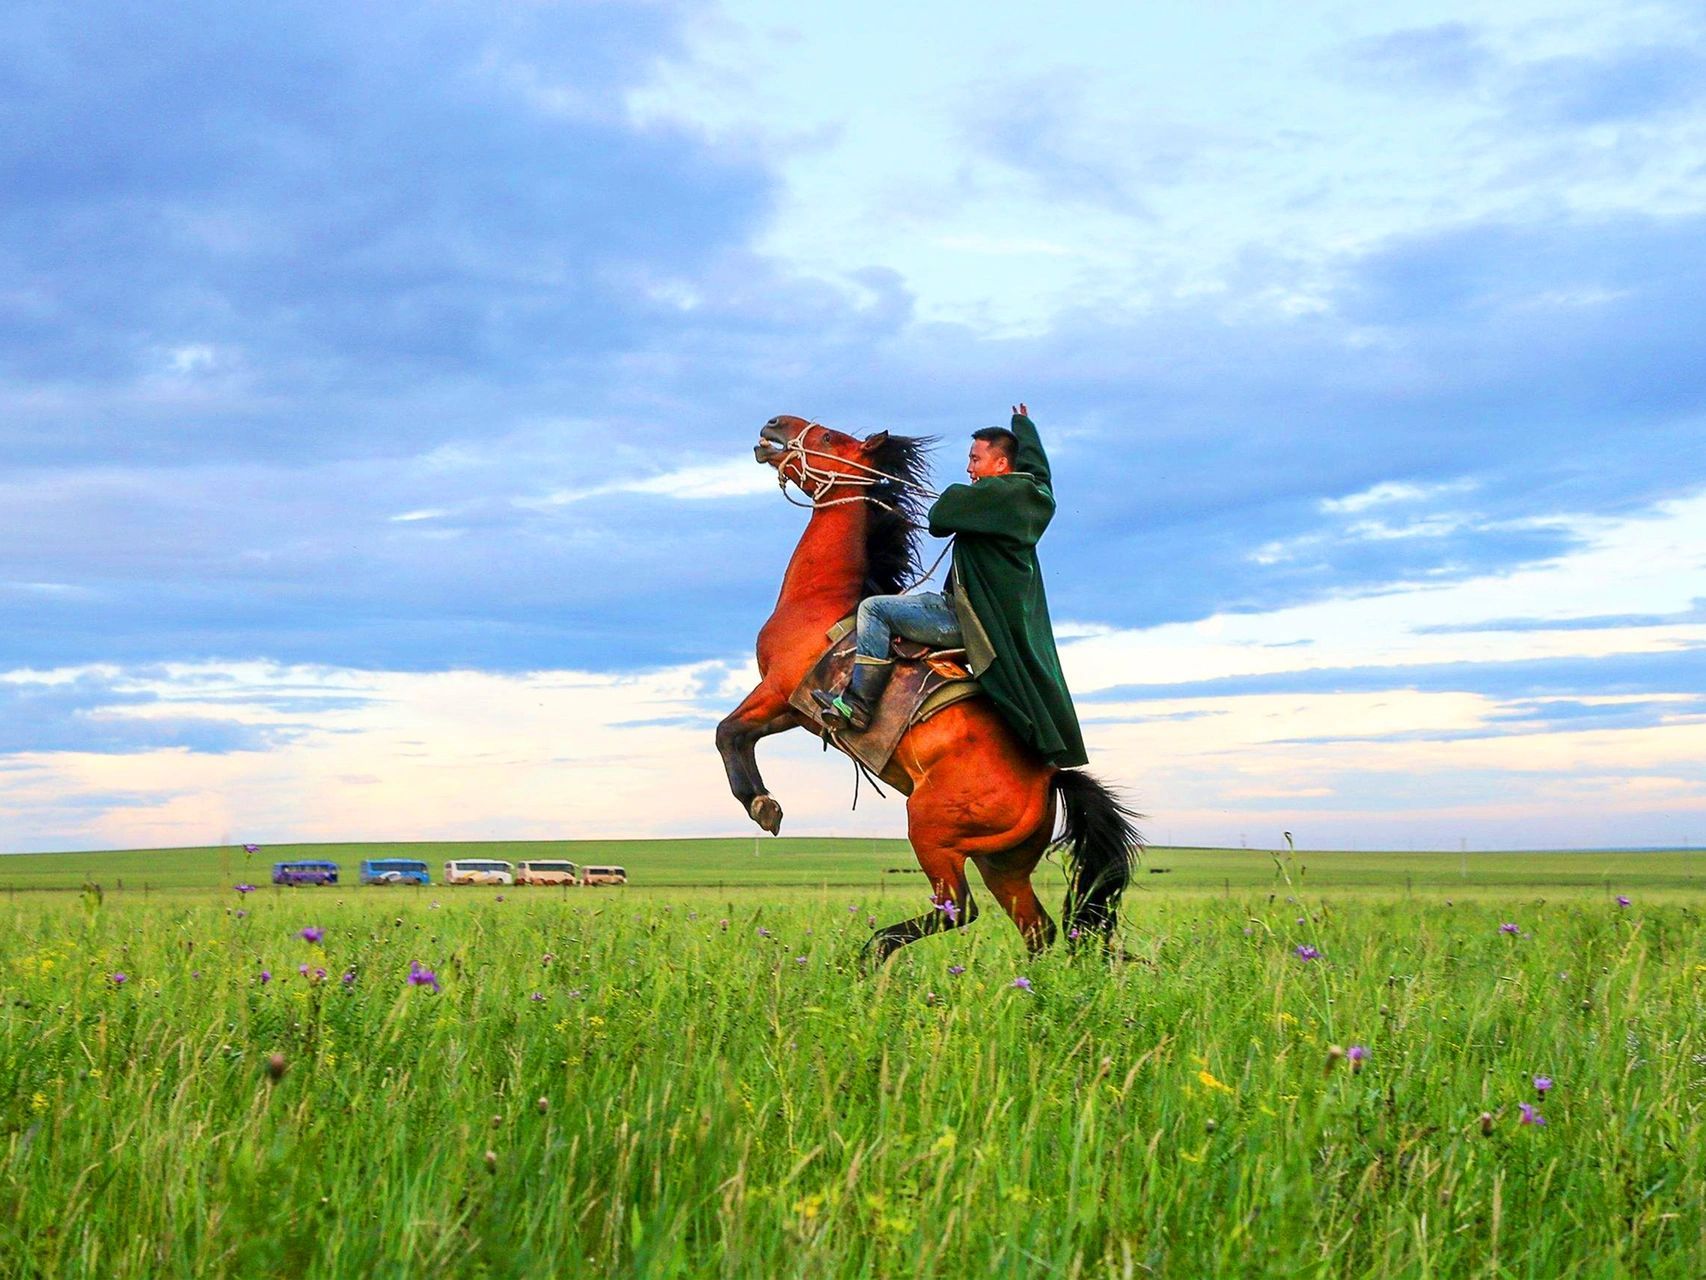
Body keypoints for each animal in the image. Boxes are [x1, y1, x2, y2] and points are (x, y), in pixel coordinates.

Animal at [713, 416, 1139, 969]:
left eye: (827, 437)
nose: (774, 424)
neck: (821, 601)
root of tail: (1049, 779)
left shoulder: (778, 690)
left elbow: (726, 732)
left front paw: (761, 804)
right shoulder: (795, 710)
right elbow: (740, 735)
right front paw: (763, 803)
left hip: (932, 833)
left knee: (958, 906)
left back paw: (873, 952)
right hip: (1002, 864)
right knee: (1038, 931)